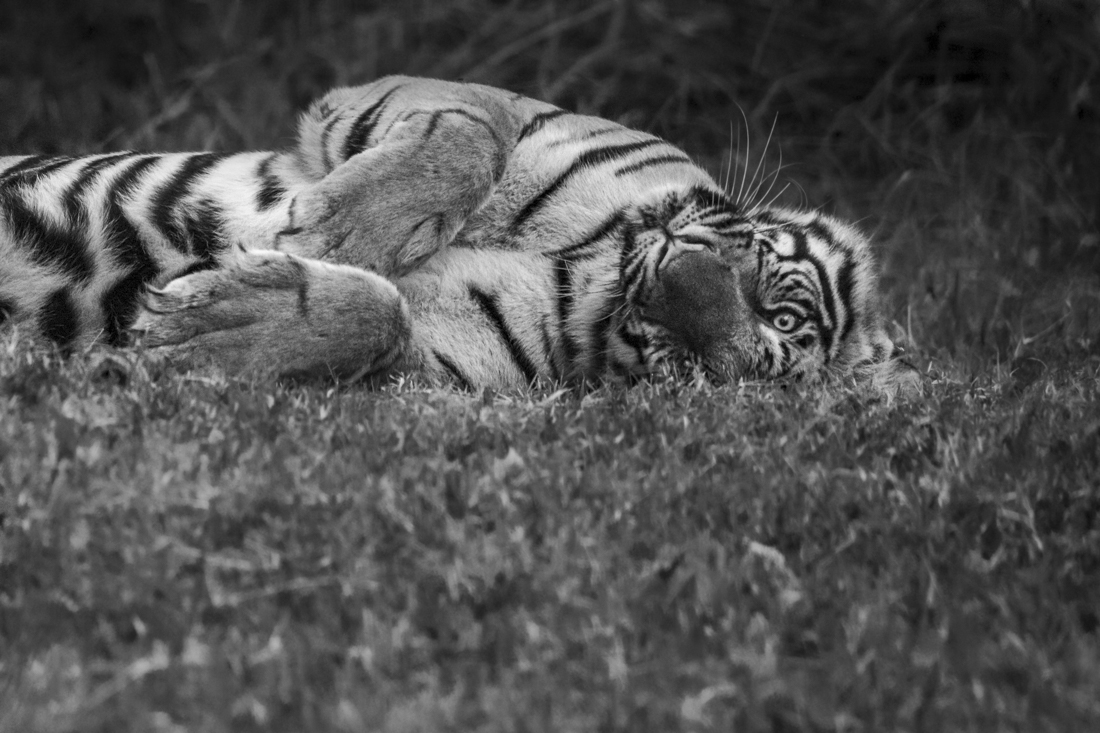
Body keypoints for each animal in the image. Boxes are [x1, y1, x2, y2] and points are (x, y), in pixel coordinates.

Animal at [0, 76, 914, 393]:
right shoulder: (457, 100)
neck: (597, 266)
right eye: (779, 308)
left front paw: (202, 330)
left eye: (718, 366)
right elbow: (469, 139)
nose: (667, 287)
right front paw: (339, 231)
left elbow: (384, 316)